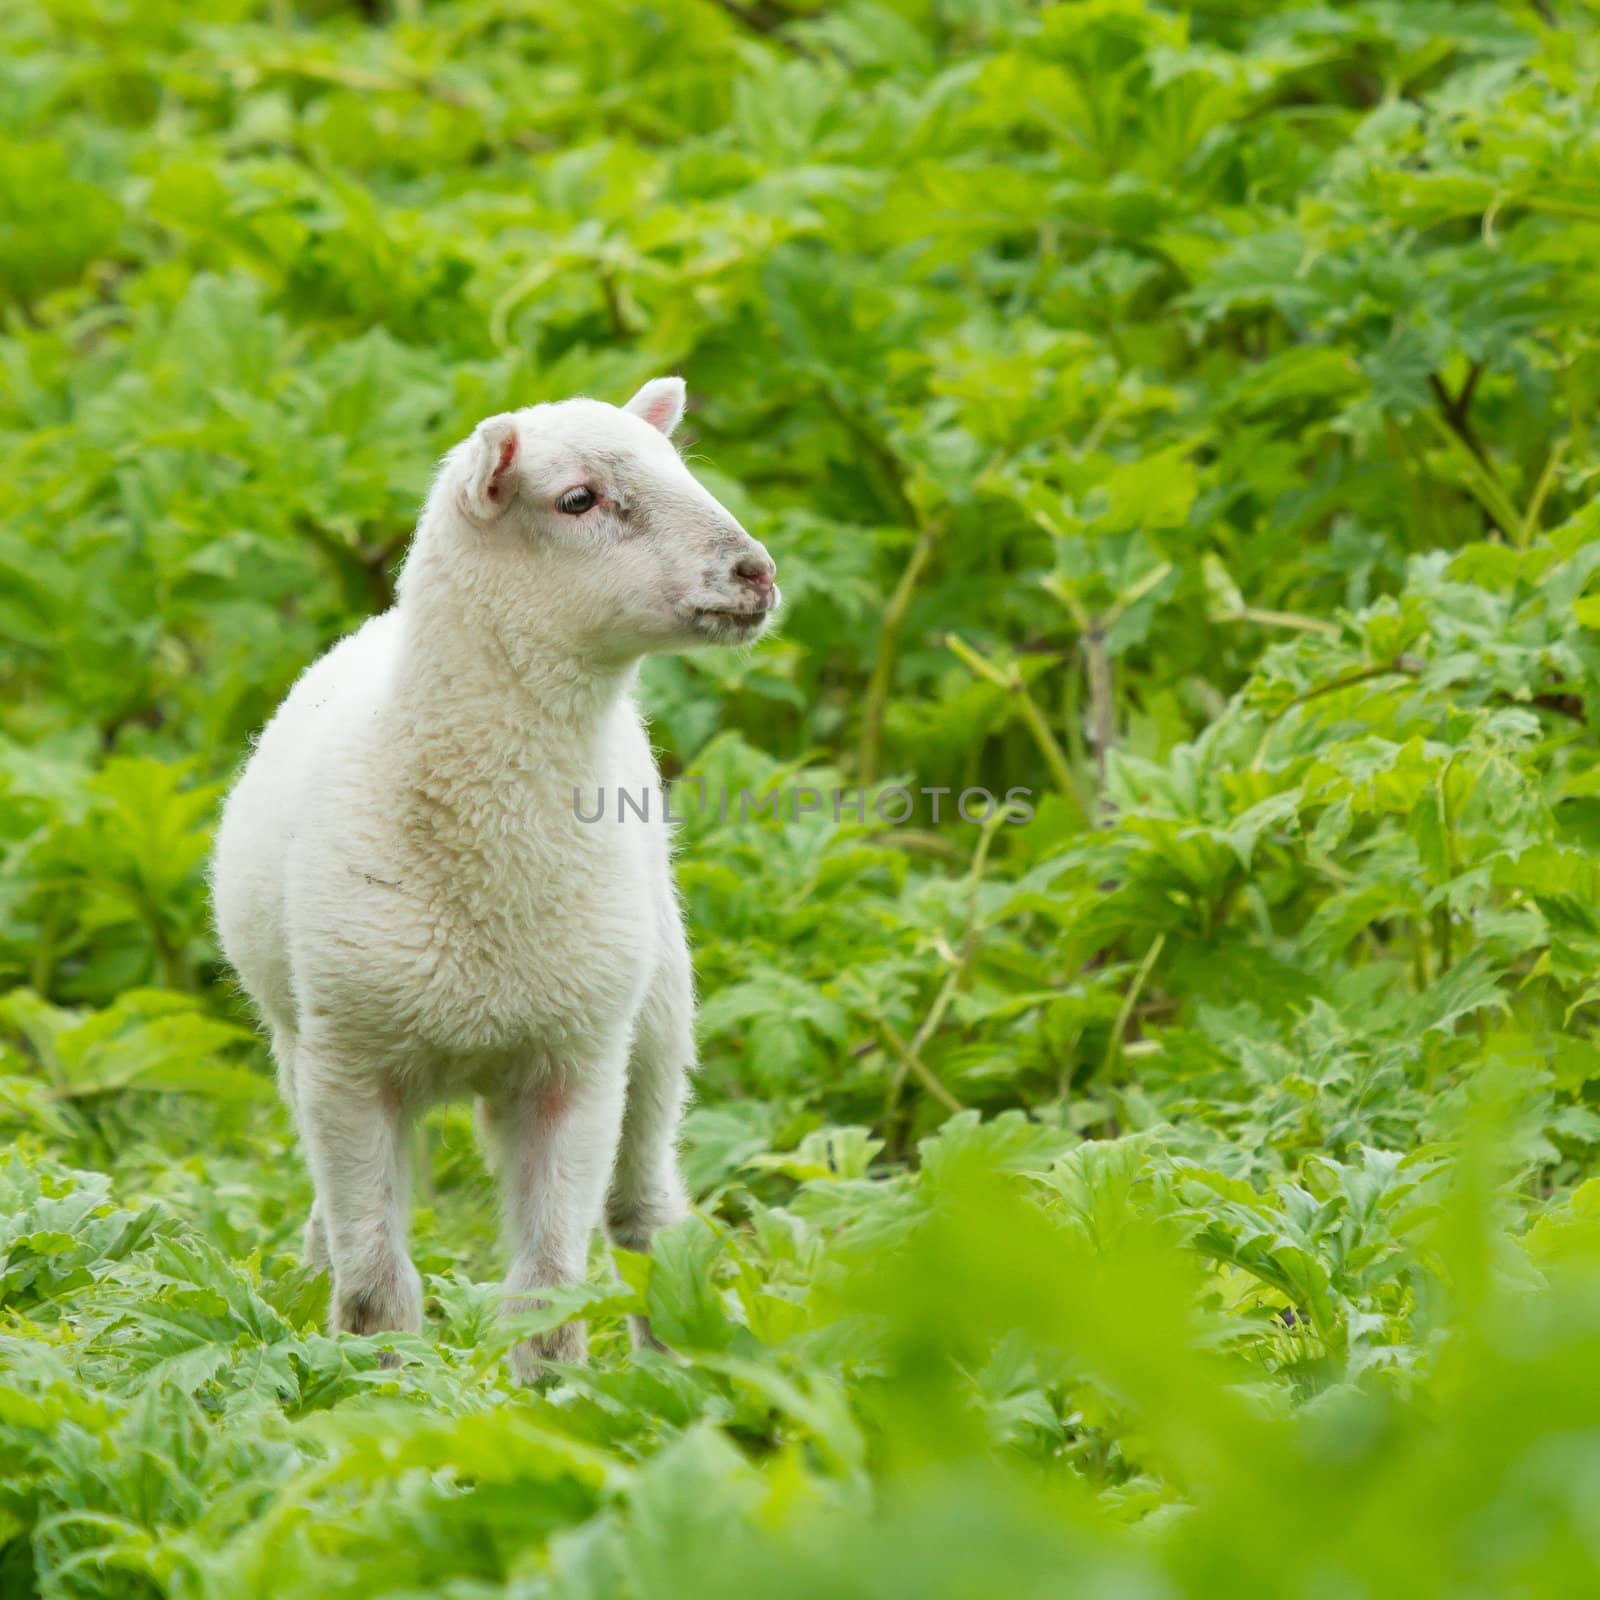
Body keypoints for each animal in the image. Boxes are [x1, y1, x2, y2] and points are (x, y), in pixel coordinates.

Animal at [209, 377, 784, 1376]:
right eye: (578, 499)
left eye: (678, 467)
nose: (755, 572)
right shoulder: (349, 1063)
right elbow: (375, 1290)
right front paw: (377, 1391)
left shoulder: (577, 1061)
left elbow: (549, 1292)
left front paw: (553, 1398)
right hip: (298, 1044)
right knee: (330, 1229)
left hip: (656, 1014)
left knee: (645, 1212)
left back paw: (676, 1365)